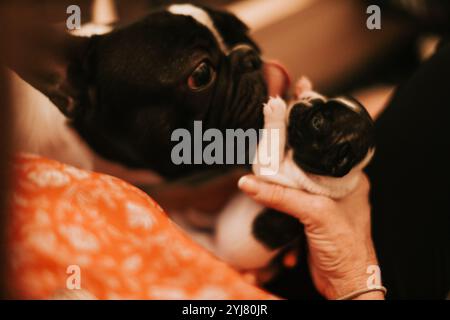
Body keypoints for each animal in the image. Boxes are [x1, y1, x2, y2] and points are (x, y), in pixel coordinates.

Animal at [216, 77, 374, 270]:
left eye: (317, 122)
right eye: (326, 96)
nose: (306, 99)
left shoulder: (275, 169)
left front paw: (277, 110)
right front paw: (304, 87)